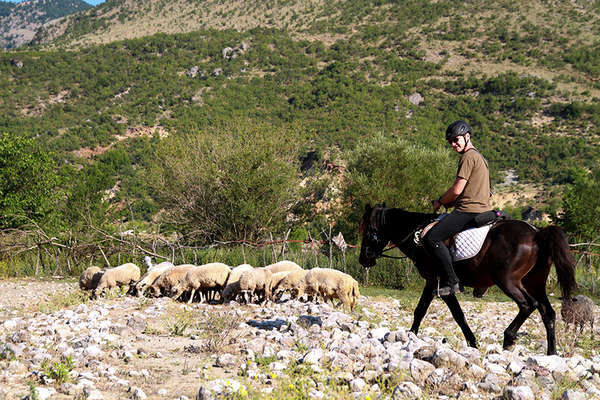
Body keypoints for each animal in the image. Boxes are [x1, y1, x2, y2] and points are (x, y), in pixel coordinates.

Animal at [358, 205, 580, 354]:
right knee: (547, 313)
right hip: (534, 283)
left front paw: (472, 342)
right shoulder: (431, 283)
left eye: (368, 231)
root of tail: (537, 233)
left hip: (508, 281)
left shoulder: (438, 284)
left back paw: (509, 338)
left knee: (528, 305)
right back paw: (552, 353)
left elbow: (456, 314)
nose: (363, 259)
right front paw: (411, 335)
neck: (418, 236)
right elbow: (420, 311)